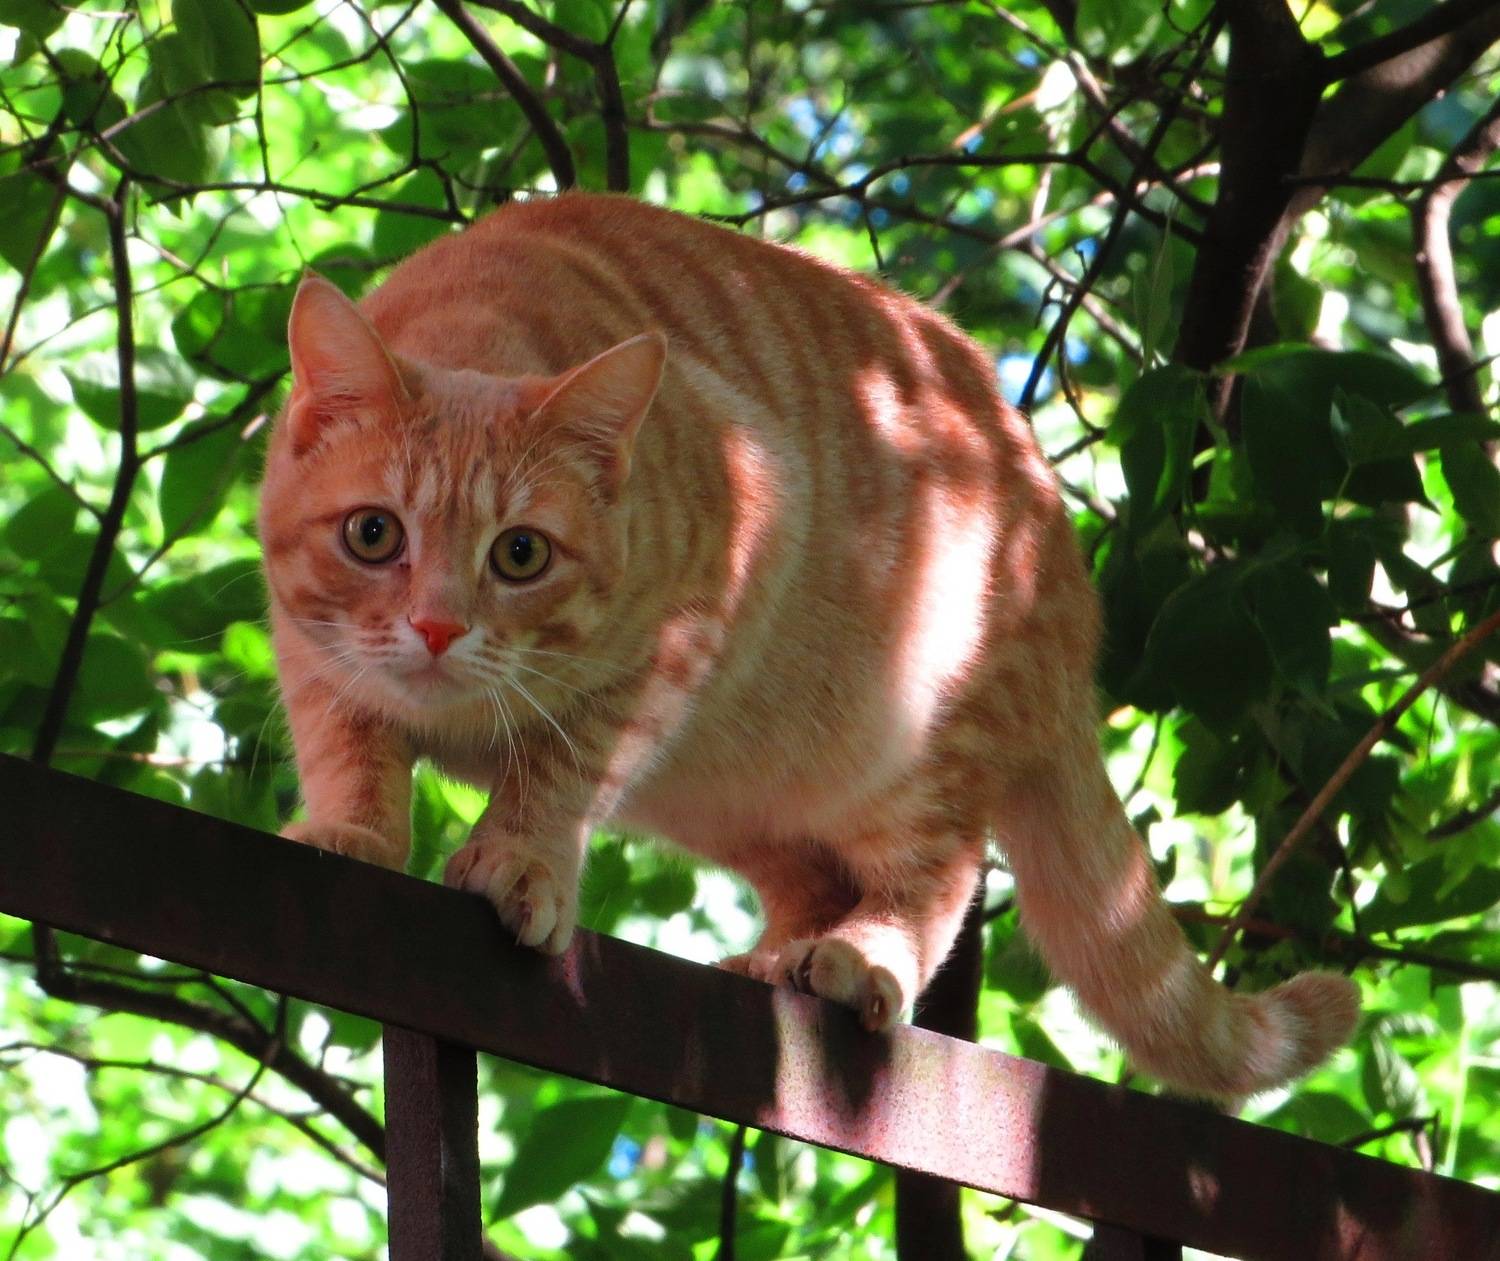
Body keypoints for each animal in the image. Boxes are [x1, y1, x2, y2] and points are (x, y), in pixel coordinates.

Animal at [259, 192, 1359, 1099]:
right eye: (372, 534)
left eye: (520, 553)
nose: (439, 627)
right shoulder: (315, 659)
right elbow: (350, 747)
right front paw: (352, 831)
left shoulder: (687, 617)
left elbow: (558, 771)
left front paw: (522, 860)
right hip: (735, 790)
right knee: (814, 876)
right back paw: (770, 961)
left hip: (920, 741)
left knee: (941, 869)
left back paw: (861, 956)